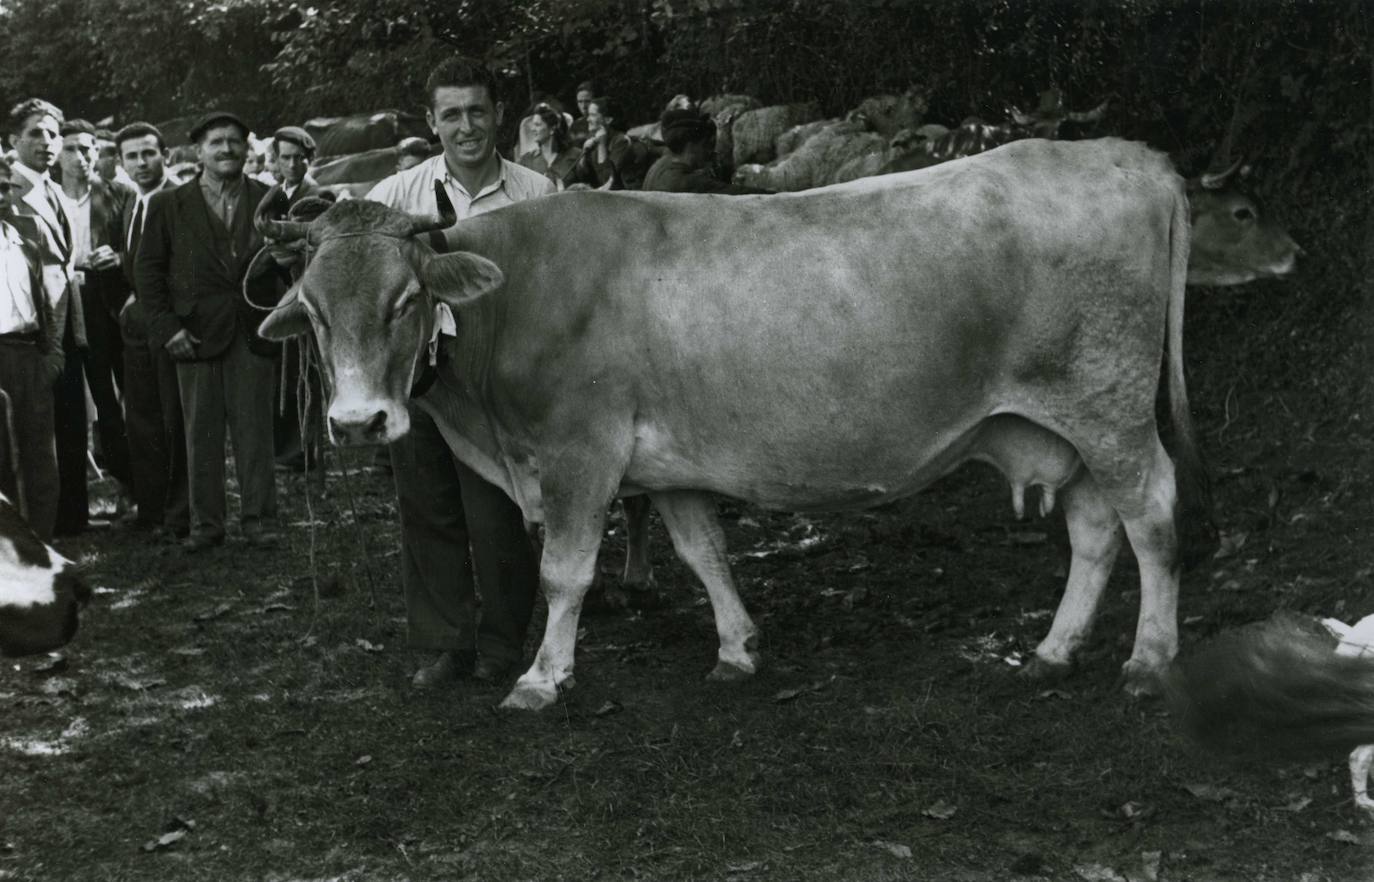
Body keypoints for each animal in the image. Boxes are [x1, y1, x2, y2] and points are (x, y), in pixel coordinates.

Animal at [258, 140, 1214, 708]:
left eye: (406, 299)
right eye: (313, 311)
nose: (357, 421)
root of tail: (1124, 154)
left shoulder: (579, 452)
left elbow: (565, 571)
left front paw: (541, 677)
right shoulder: (668, 464)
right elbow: (704, 553)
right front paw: (738, 649)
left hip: (1109, 406)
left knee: (1152, 515)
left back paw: (1150, 658)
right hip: (1064, 423)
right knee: (1095, 528)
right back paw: (1054, 649)